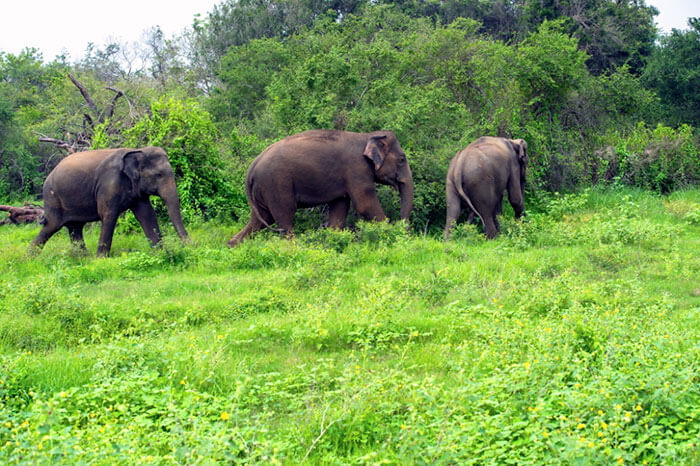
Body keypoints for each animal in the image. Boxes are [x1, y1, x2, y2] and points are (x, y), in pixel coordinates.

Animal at [30, 147, 189, 256]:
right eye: (158, 175)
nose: (190, 246)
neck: (137, 150)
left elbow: (147, 215)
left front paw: (161, 253)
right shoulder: (109, 184)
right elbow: (108, 215)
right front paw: (101, 260)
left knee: (75, 228)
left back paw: (81, 258)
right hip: (53, 198)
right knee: (51, 225)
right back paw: (30, 259)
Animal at [230, 129, 412, 246]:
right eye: (402, 159)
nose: (404, 231)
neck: (367, 136)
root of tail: (252, 167)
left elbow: (340, 207)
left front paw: (333, 240)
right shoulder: (356, 170)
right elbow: (364, 205)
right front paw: (392, 235)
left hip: (263, 189)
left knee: (261, 218)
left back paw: (232, 246)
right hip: (276, 184)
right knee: (284, 216)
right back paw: (293, 248)